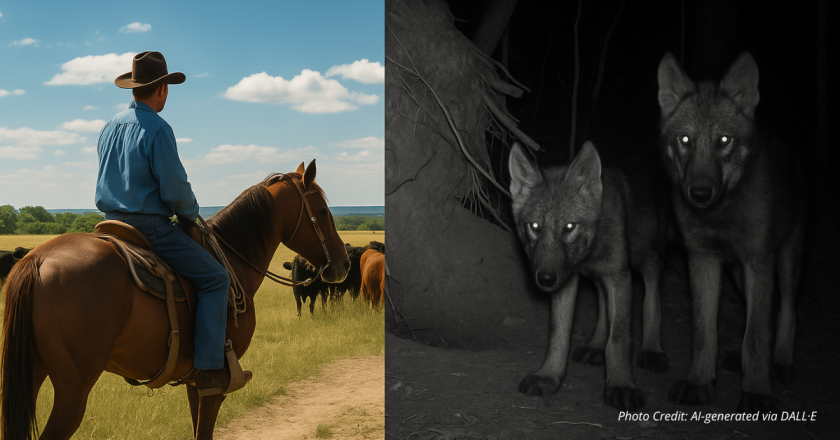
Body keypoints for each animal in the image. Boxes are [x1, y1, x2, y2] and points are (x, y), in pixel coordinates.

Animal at [508, 141, 669, 411]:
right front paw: (548, 376)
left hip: (648, 257)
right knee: (603, 305)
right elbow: (558, 335)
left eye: (569, 227)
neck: (590, 251)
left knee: (652, 298)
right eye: (534, 227)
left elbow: (619, 338)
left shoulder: (619, 275)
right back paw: (595, 346)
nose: (545, 279)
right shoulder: (568, 279)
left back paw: (651, 349)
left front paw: (621, 385)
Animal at [657, 52, 806, 412]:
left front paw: (756, 392)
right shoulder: (702, 258)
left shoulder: (758, 260)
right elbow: (704, 332)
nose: (699, 193)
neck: (721, 215)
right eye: (685, 140)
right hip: (738, 275)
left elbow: (756, 336)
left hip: (786, 262)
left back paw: (780, 364)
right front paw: (699, 382)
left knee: (786, 310)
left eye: (723, 140)